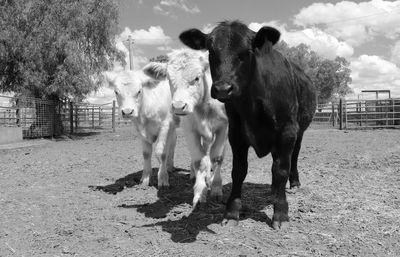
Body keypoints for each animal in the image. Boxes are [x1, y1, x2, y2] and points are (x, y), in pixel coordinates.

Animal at [144, 48, 228, 208]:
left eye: (197, 78)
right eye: (169, 79)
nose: (178, 106)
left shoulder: (224, 127)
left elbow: (217, 158)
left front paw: (216, 188)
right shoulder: (190, 129)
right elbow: (199, 161)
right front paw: (199, 193)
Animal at [180, 20, 318, 228]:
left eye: (246, 52)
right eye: (211, 51)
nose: (223, 89)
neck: (253, 104)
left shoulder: (287, 131)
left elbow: (281, 170)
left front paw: (281, 213)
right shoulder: (236, 133)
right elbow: (239, 171)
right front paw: (231, 212)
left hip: (299, 131)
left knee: (292, 158)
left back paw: (293, 183)